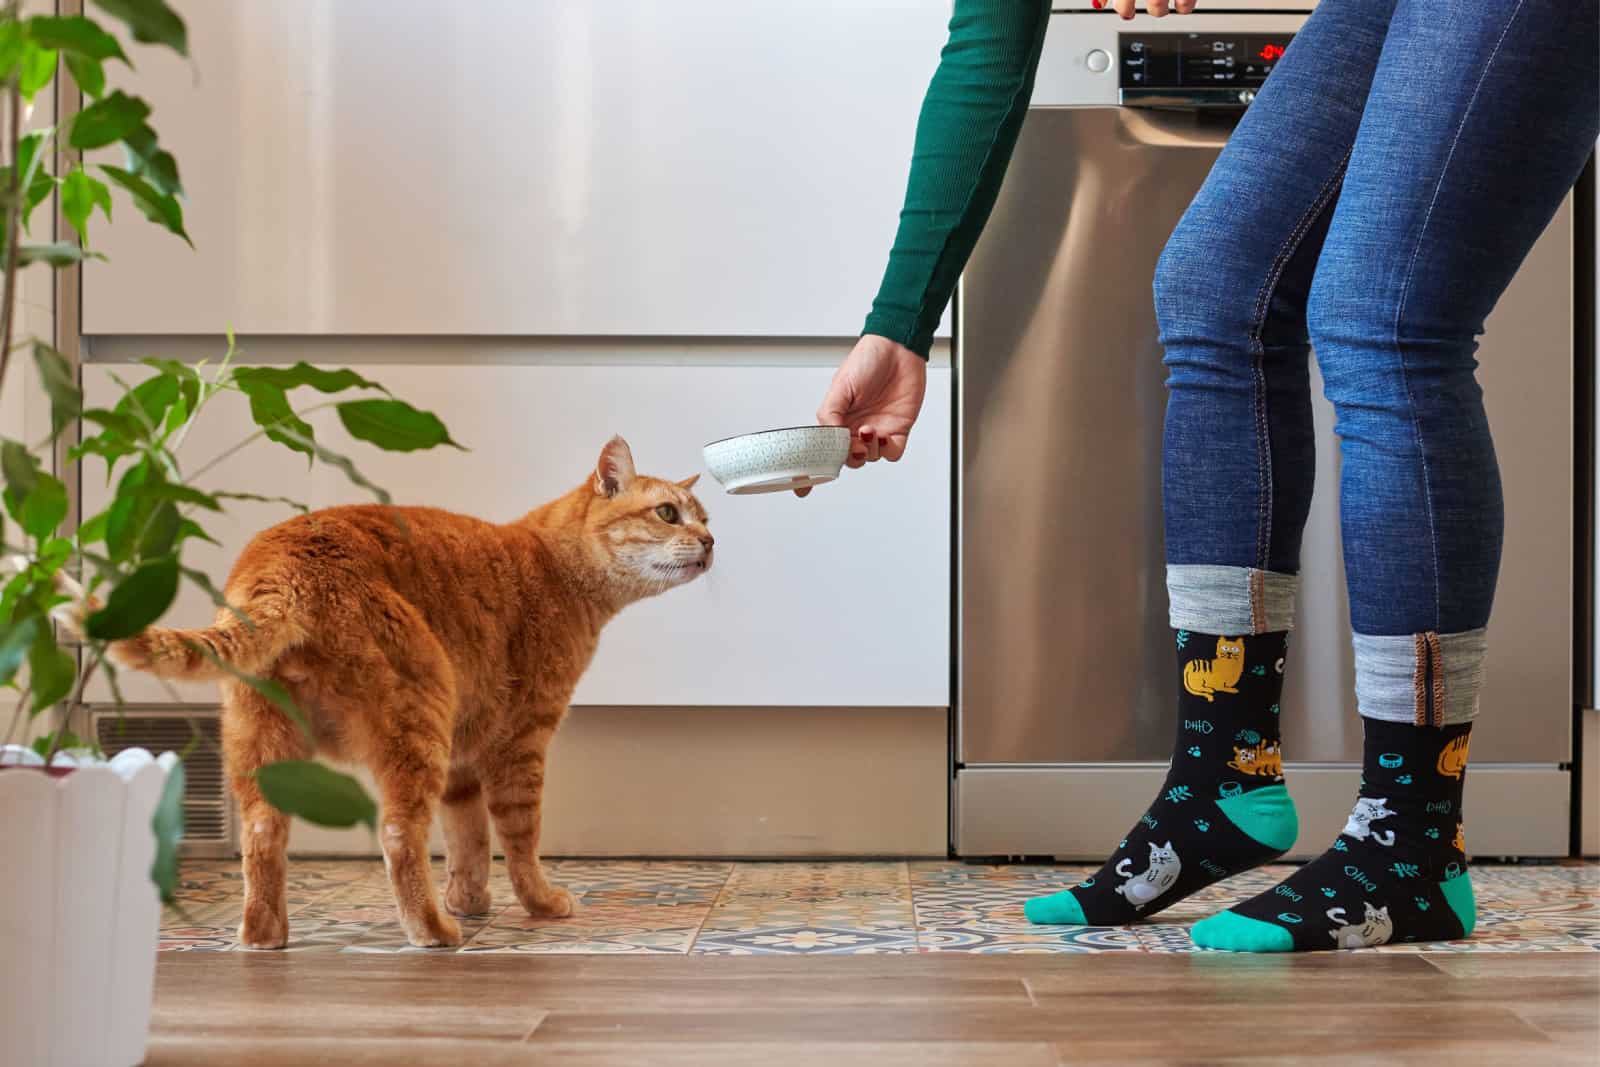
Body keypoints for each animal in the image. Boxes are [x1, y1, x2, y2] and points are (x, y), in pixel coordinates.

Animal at [87, 438, 710, 947]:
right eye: (667, 513)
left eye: (704, 517)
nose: (710, 540)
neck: (556, 567)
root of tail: (281, 567)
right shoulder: (521, 742)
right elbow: (519, 837)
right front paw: (537, 902)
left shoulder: (464, 756)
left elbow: (467, 839)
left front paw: (471, 900)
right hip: (418, 721)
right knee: (397, 835)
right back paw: (432, 929)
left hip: (263, 746)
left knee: (262, 836)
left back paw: (266, 936)